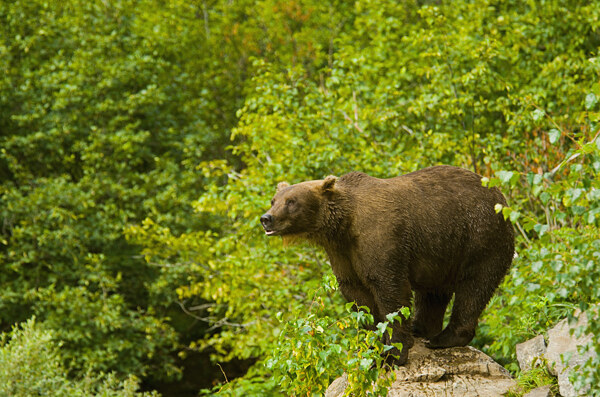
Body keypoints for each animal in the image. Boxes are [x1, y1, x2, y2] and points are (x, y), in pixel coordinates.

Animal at [260, 165, 512, 366]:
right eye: (274, 200)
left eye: (292, 202)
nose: (266, 218)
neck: (344, 225)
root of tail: (498, 193)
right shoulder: (342, 253)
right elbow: (357, 295)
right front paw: (374, 344)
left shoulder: (380, 237)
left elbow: (389, 289)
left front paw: (395, 353)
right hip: (442, 251)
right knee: (433, 293)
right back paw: (421, 329)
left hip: (480, 235)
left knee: (475, 285)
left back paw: (443, 338)